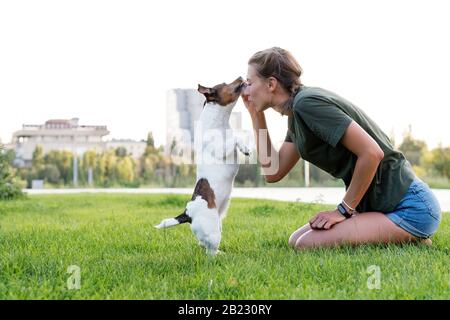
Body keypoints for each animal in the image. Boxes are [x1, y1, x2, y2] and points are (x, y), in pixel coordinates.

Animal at [153, 77, 248, 255]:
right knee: (209, 252)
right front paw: (246, 147)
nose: (240, 77)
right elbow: (236, 138)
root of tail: (188, 213)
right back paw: (219, 256)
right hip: (213, 231)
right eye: (225, 84)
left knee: (203, 244)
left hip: (216, 226)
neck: (218, 121)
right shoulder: (220, 149)